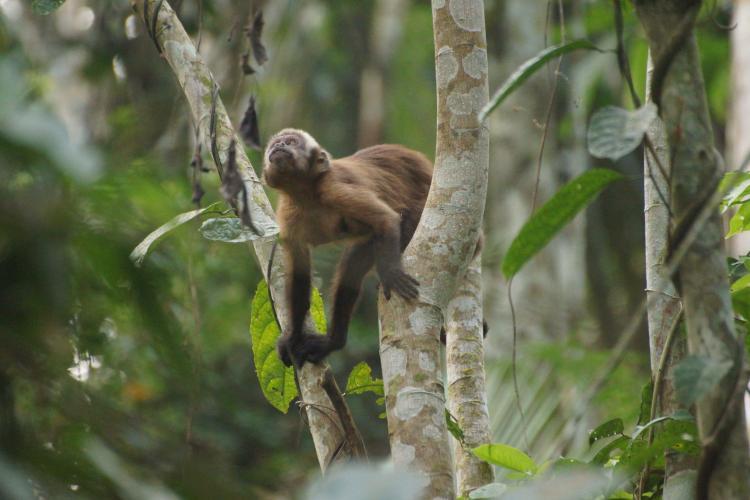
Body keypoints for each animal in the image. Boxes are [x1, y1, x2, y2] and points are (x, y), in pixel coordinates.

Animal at [262, 128, 482, 367]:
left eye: (291, 142)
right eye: (276, 143)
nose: (279, 145)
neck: (305, 196)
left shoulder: (333, 189)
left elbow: (387, 221)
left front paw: (391, 273)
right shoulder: (288, 216)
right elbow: (299, 276)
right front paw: (293, 337)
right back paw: (334, 341)